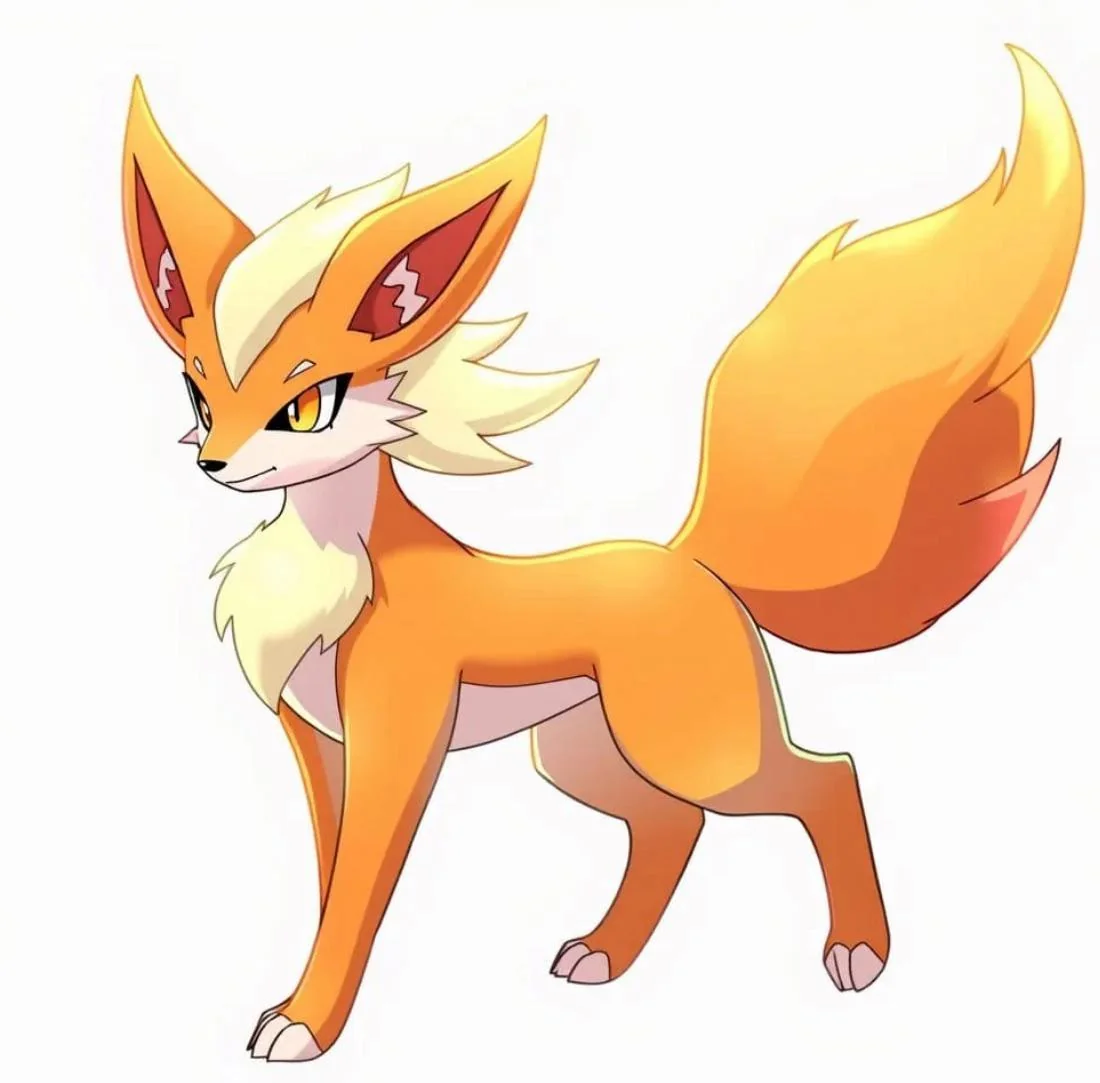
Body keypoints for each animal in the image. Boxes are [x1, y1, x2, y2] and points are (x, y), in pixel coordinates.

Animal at [122, 45, 1082, 1063]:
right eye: (197, 393)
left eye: (307, 407)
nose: (216, 462)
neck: (331, 566)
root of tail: (692, 562)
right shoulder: (319, 745)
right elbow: (329, 879)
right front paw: (305, 1001)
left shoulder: (396, 742)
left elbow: (359, 886)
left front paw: (310, 1021)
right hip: (584, 752)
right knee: (672, 825)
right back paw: (607, 954)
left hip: (694, 749)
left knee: (827, 777)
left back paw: (858, 948)